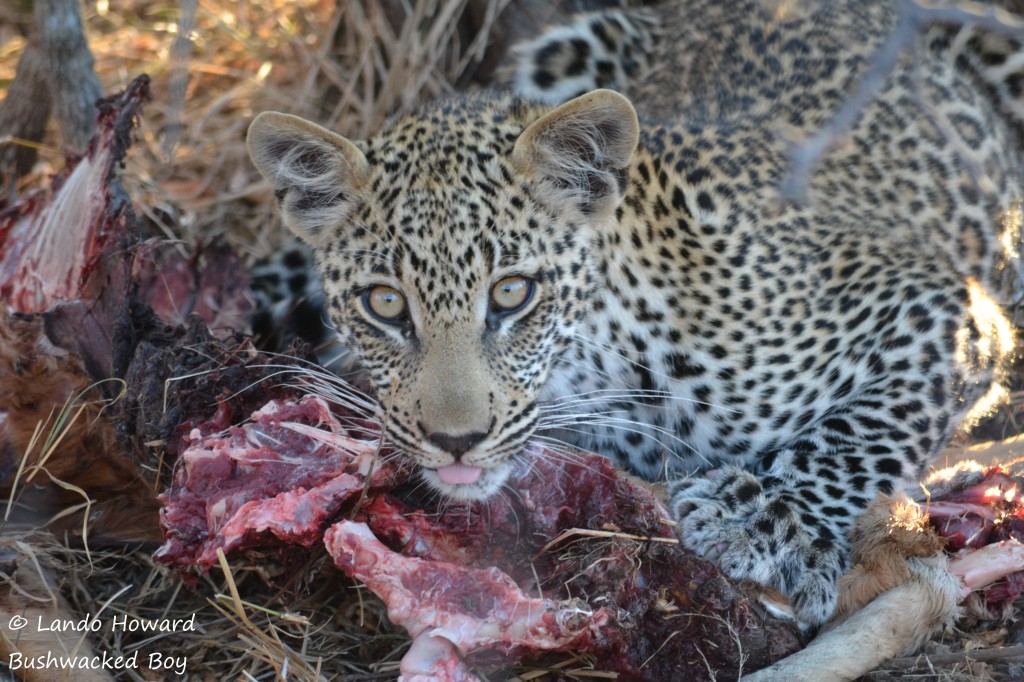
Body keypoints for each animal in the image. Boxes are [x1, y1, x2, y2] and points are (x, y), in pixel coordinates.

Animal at [245, 0, 1024, 622]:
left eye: (512, 293)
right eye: (384, 303)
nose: (455, 440)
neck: (607, 373)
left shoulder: (935, 302)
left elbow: (861, 432)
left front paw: (769, 519)